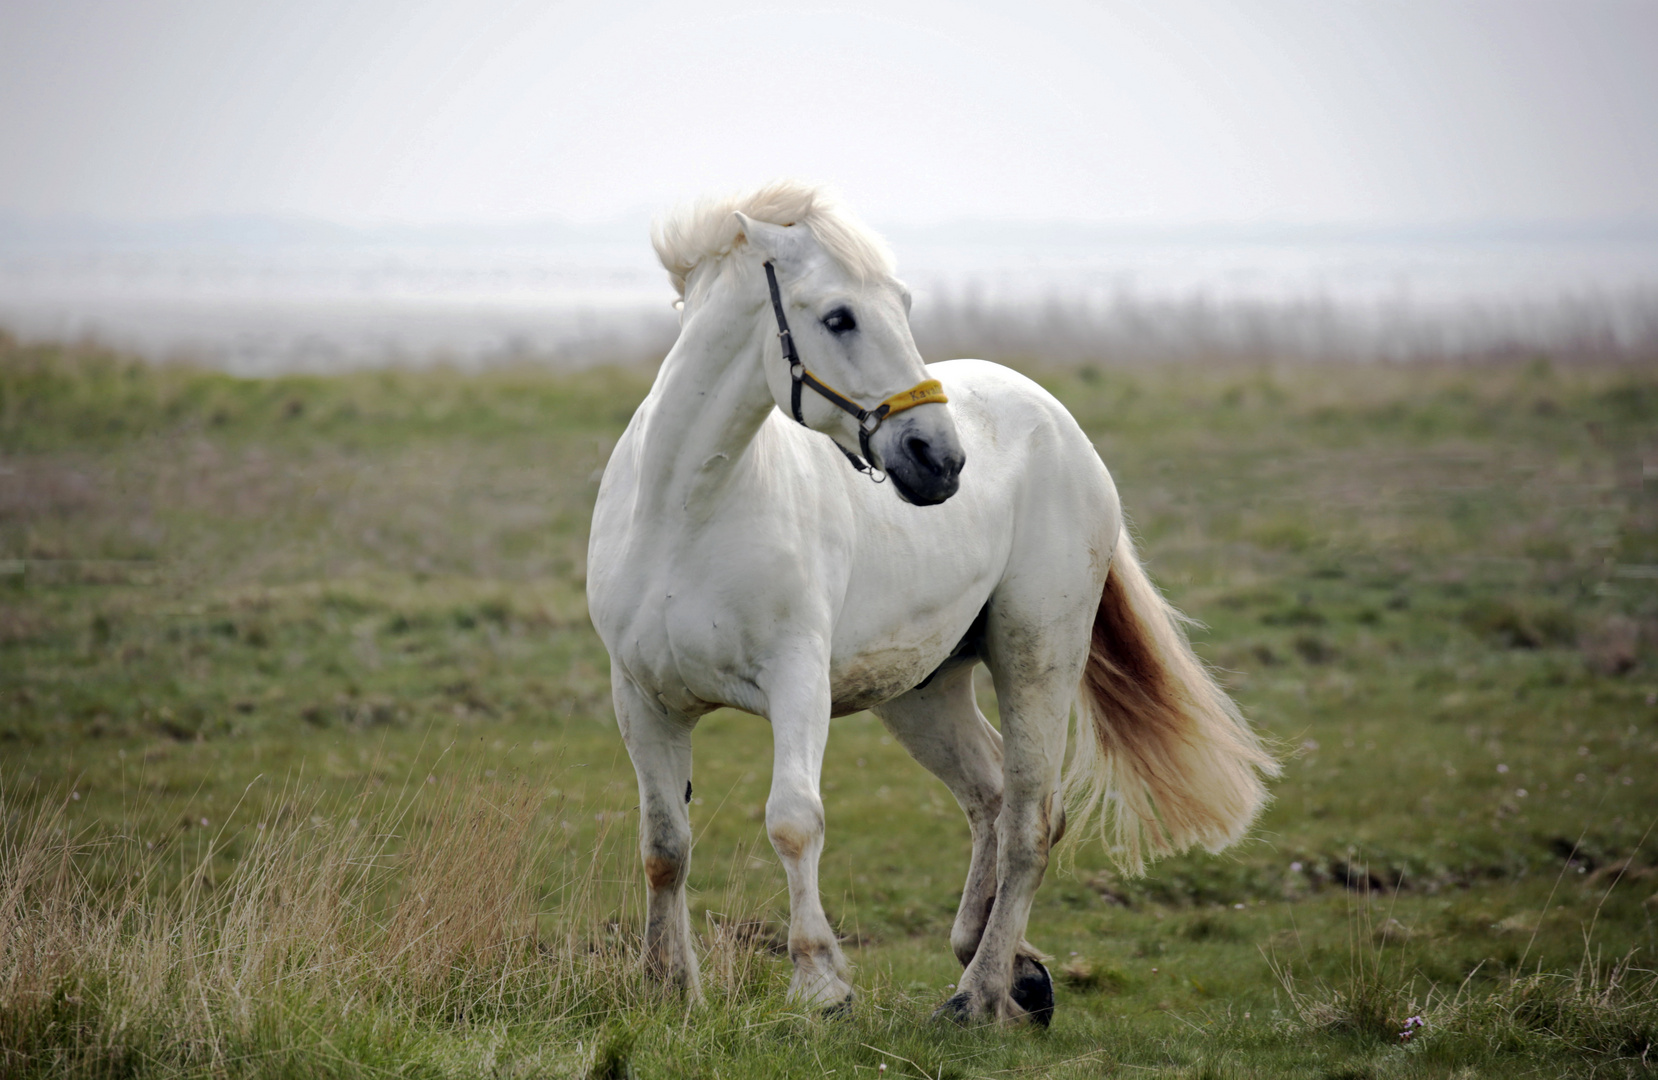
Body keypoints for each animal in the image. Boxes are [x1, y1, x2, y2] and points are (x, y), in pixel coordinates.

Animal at [590, 181, 1273, 1028]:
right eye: (840, 316)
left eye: (903, 304)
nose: (939, 460)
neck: (684, 512)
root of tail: (1060, 424)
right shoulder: (642, 699)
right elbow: (665, 844)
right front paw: (668, 987)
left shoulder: (796, 685)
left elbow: (794, 821)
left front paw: (821, 986)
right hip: (922, 690)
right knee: (990, 796)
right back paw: (1014, 970)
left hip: (1036, 658)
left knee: (1029, 821)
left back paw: (978, 992)